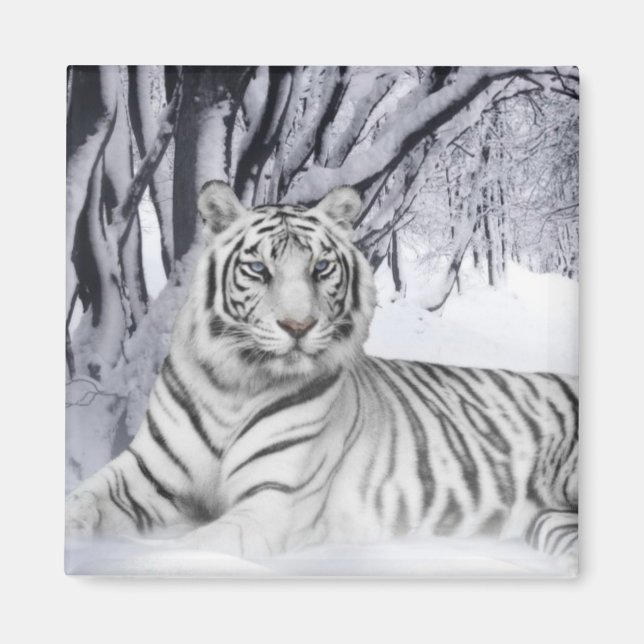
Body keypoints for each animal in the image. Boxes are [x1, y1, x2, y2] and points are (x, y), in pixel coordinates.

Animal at [65, 181, 579, 572]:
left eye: (321, 267)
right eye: (259, 268)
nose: (298, 326)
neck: (235, 384)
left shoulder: (270, 503)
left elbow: (188, 550)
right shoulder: (146, 475)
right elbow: (79, 501)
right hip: (552, 522)